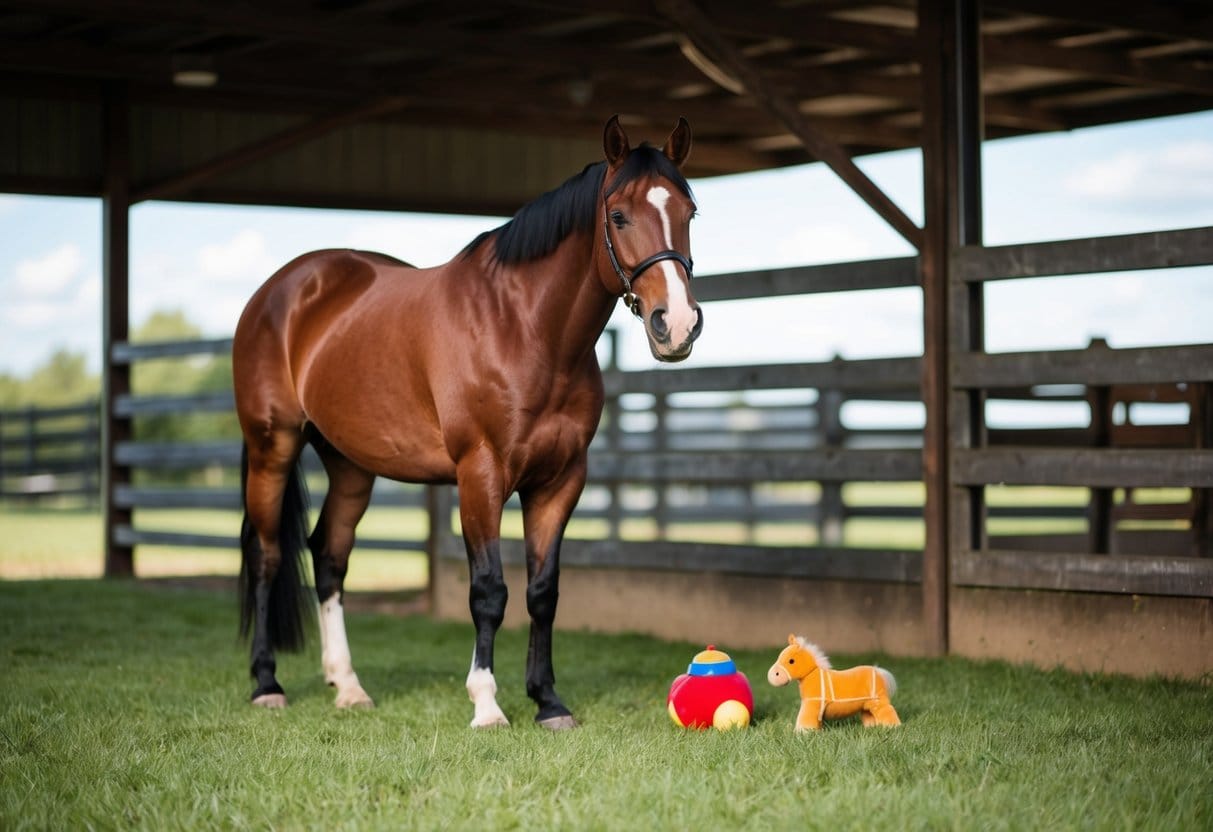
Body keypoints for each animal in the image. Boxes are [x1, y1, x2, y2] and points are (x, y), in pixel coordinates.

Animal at [231, 117, 703, 727]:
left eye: (689, 212)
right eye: (619, 215)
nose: (678, 324)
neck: (522, 328)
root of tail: (280, 290)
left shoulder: (561, 481)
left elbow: (543, 592)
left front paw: (548, 702)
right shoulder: (480, 475)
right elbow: (489, 591)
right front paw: (486, 704)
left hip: (351, 465)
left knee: (330, 556)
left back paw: (349, 686)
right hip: (274, 446)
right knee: (266, 555)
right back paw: (267, 683)